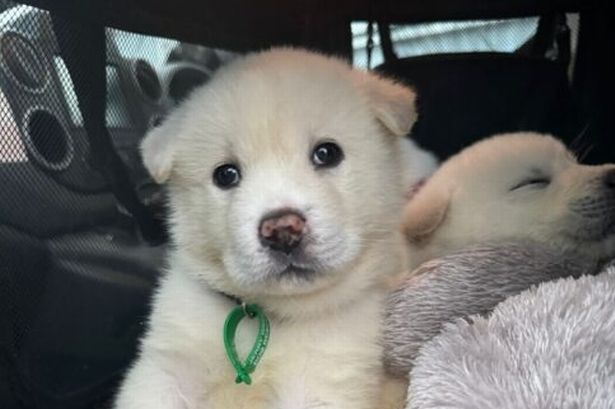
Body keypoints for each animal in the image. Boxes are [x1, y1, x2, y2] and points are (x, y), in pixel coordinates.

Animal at [112, 48, 416, 408]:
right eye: (226, 174)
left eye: (327, 153)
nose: (282, 230)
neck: (270, 316)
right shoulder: (168, 367)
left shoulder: (326, 377)